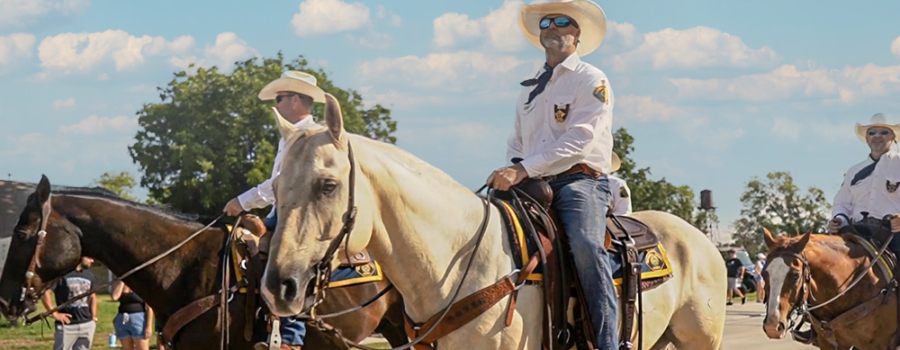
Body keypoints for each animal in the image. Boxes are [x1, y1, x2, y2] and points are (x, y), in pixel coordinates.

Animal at [256, 93, 728, 350]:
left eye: (328, 185)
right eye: (276, 186)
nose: (279, 286)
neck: (455, 265)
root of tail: (703, 244)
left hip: (701, 339)